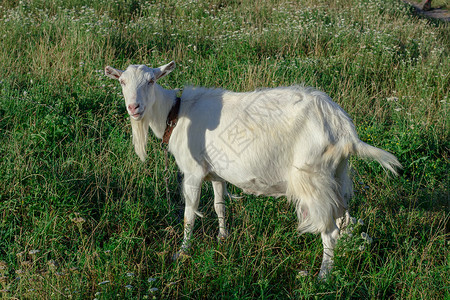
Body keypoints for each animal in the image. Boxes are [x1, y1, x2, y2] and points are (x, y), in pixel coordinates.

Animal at [105, 61, 400, 278]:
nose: (134, 107)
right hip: (337, 175)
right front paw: (223, 237)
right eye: (122, 82)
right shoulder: (216, 172)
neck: (175, 114)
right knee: (342, 219)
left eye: (151, 81)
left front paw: (182, 253)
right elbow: (219, 206)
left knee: (330, 231)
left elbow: (189, 215)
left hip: (313, 178)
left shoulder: (193, 172)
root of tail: (344, 130)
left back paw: (322, 276)